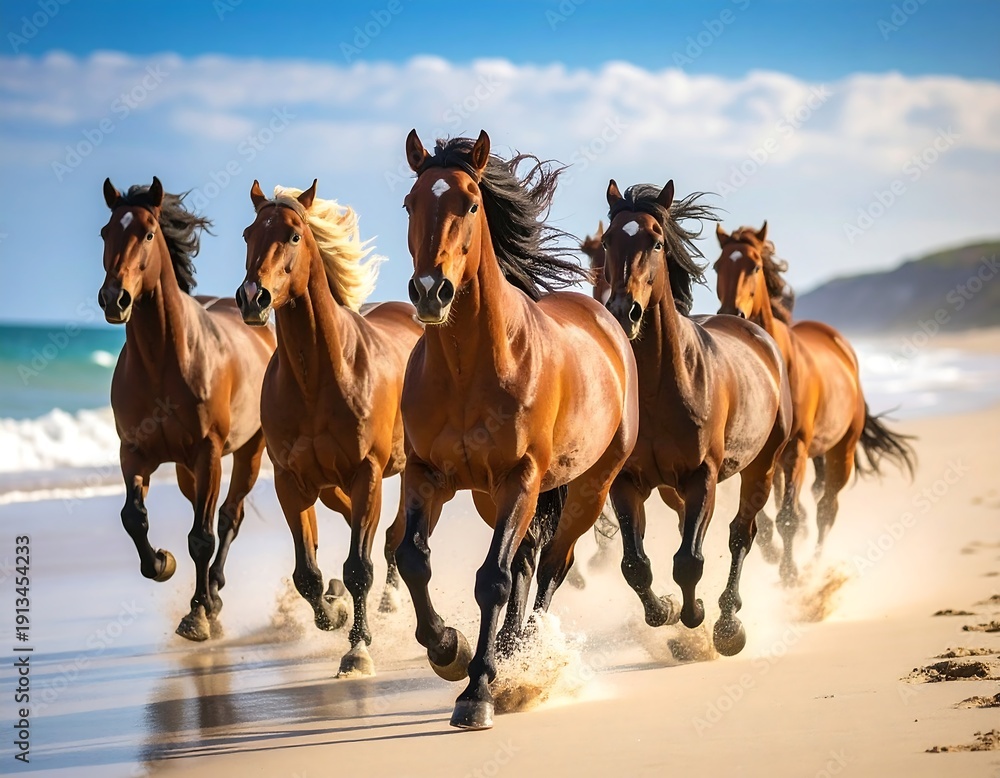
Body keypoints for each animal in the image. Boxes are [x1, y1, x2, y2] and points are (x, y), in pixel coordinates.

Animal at [98, 177, 276, 641]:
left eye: (147, 233)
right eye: (105, 233)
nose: (114, 298)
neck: (162, 361)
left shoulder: (207, 452)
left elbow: (202, 537)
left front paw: (197, 614)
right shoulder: (133, 452)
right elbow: (133, 517)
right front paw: (162, 563)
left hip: (248, 452)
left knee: (229, 517)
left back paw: (212, 594)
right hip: (184, 470)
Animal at [236, 180, 422, 677]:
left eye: (293, 235)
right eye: (248, 234)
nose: (252, 298)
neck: (318, 378)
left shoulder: (367, 472)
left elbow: (359, 566)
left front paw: (357, 650)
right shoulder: (291, 480)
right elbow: (307, 573)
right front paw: (334, 612)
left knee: (393, 538)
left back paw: (390, 602)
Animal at [395, 130, 639, 730]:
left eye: (470, 205)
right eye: (411, 203)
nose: (430, 291)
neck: (468, 368)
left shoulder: (520, 478)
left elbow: (494, 579)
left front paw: (477, 691)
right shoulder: (427, 474)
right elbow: (412, 558)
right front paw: (448, 649)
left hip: (586, 489)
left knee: (551, 565)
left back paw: (524, 652)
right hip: (491, 497)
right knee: (528, 560)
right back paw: (507, 651)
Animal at [601, 179, 792, 657]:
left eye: (655, 241)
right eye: (609, 240)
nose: (623, 311)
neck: (658, 387)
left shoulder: (701, 476)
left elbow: (689, 561)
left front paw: (698, 616)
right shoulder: (627, 481)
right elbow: (634, 564)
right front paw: (665, 611)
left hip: (762, 466)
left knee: (742, 534)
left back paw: (727, 621)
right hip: (673, 490)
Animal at [714, 222, 915, 582]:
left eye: (755, 266)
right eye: (716, 266)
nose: (730, 314)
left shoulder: (795, 448)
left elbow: (787, 517)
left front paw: (790, 574)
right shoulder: (759, 453)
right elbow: (765, 515)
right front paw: (772, 553)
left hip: (840, 453)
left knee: (826, 508)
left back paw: (814, 569)